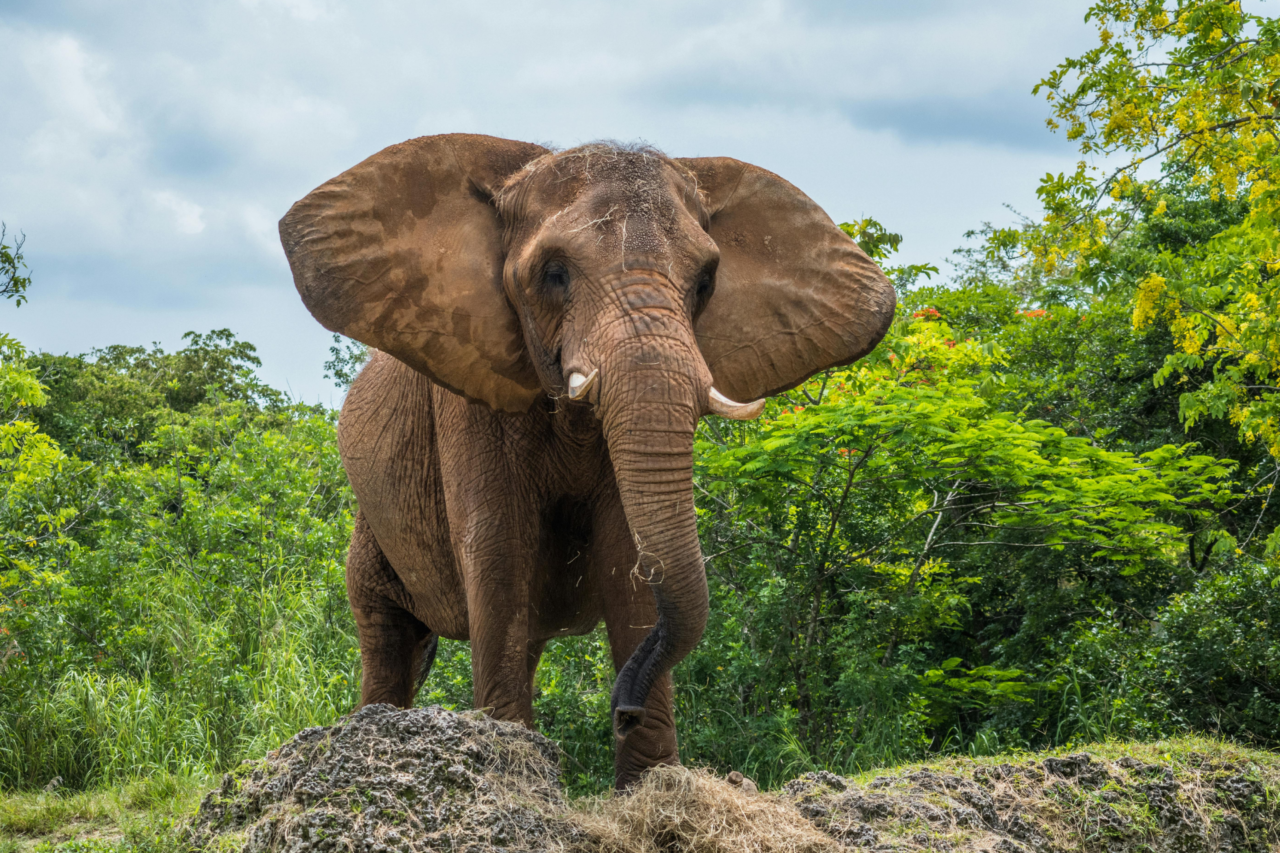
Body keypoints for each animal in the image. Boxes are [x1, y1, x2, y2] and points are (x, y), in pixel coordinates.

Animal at [278, 134, 896, 789]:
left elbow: (631, 556)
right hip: (371, 520)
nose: (623, 710)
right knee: (386, 631)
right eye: (554, 274)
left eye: (706, 281)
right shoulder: (471, 397)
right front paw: (514, 777)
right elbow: (498, 548)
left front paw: (649, 787)